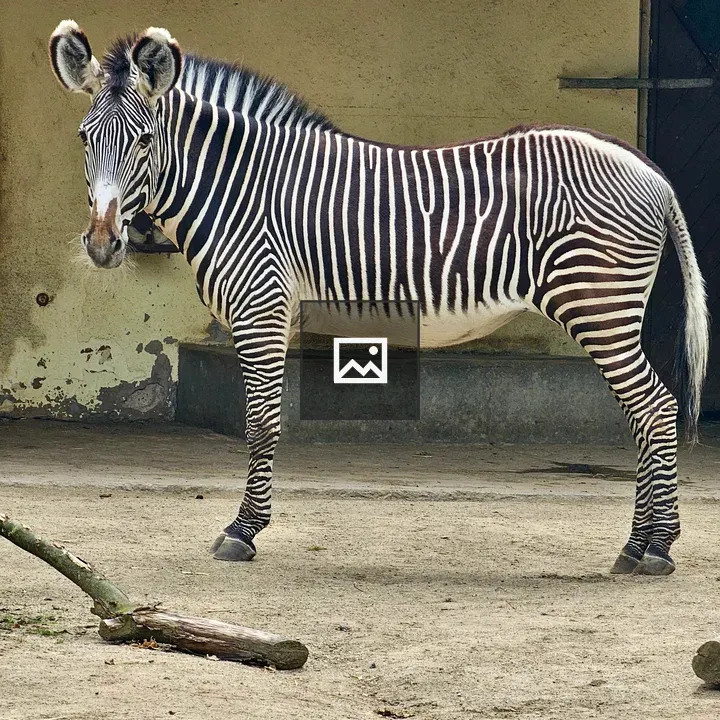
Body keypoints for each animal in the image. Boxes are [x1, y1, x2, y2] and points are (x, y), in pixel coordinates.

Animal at [49, 21, 709, 576]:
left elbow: (260, 422)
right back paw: (645, 543)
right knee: (649, 410)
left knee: (656, 408)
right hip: (610, 310)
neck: (235, 186)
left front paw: (242, 532)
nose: (103, 245)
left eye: (143, 140)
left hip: (598, 305)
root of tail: (650, 170)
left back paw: (652, 547)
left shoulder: (260, 303)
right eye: (83, 139)